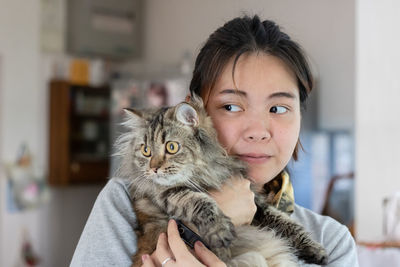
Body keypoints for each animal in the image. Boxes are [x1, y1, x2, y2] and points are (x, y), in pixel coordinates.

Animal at [115, 95, 328, 266]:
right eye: (146, 151)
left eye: (172, 147)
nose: (153, 169)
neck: (208, 172)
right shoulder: (167, 194)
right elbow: (201, 202)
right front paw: (220, 231)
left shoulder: (257, 204)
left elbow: (288, 223)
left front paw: (316, 250)